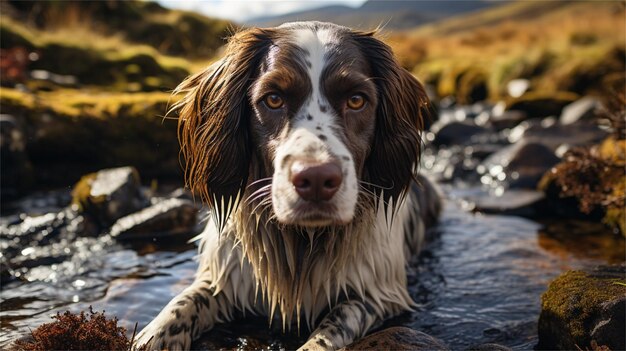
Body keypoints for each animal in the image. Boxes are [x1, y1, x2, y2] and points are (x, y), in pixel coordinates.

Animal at [135, 22, 438, 351]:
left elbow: (335, 324)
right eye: (273, 99)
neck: (302, 240)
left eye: (357, 100)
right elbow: (184, 303)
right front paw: (152, 335)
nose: (316, 180)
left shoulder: (378, 292)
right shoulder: (226, 274)